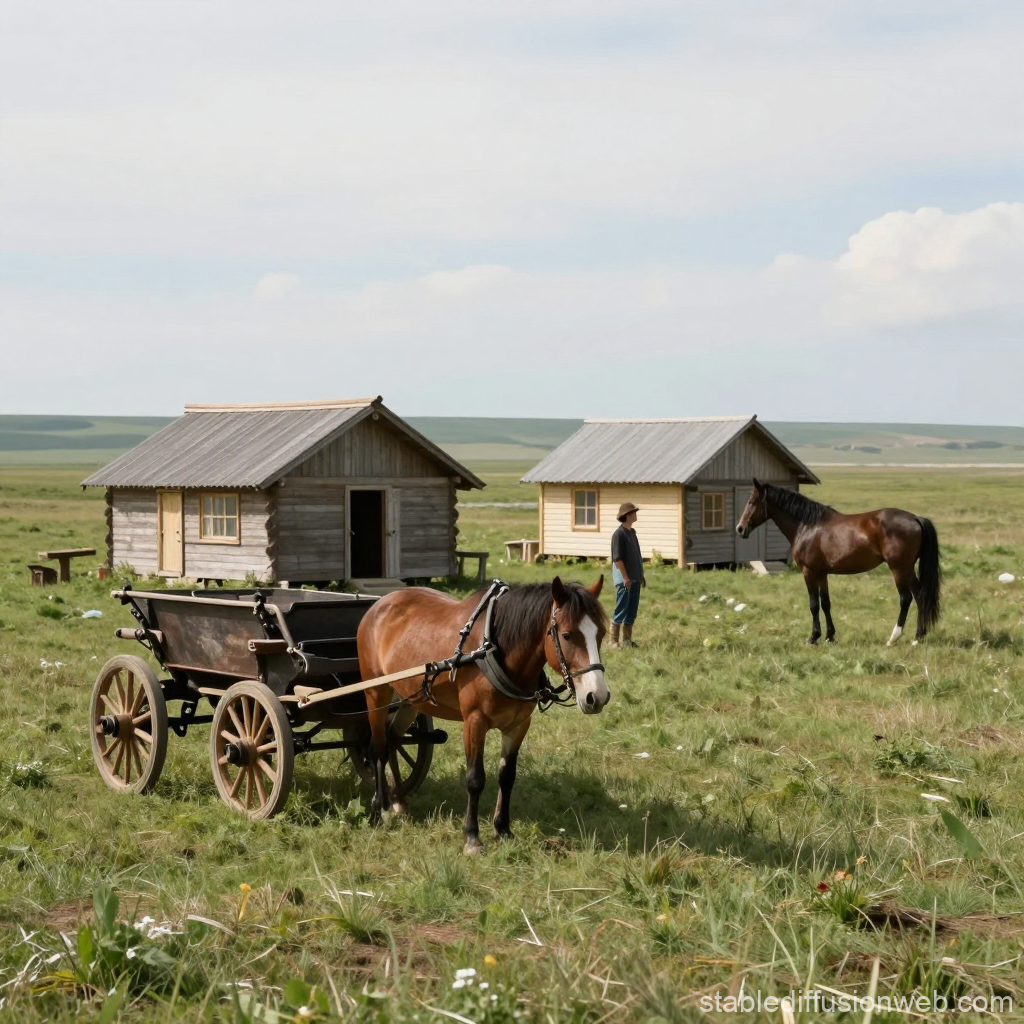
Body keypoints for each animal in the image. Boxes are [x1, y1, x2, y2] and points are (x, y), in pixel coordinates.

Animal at [356, 576, 610, 852]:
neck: (495, 649)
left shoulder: (518, 725)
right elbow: (475, 779)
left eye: (601, 633)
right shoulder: (474, 721)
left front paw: (503, 829)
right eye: (566, 635)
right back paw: (378, 809)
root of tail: (380, 603)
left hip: (412, 698)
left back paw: (399, 801)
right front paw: (472, 837)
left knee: (393, 739)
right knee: (378, 748)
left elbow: (507, 776)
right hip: (376, 692)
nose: (597, 696)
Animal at [736, 479, 941, 647]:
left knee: (906, 598)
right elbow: (826, 603)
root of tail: (915, 518)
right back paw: (918, 637)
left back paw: (894, 638)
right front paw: (829, 636)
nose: (740, 528)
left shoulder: (808, 572)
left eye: (751, 502)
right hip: (908, 569)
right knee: (920, 595)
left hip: (899, 569)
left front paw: (813, 637)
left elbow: (813, 604)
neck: (807, 526)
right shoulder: (822, 573)